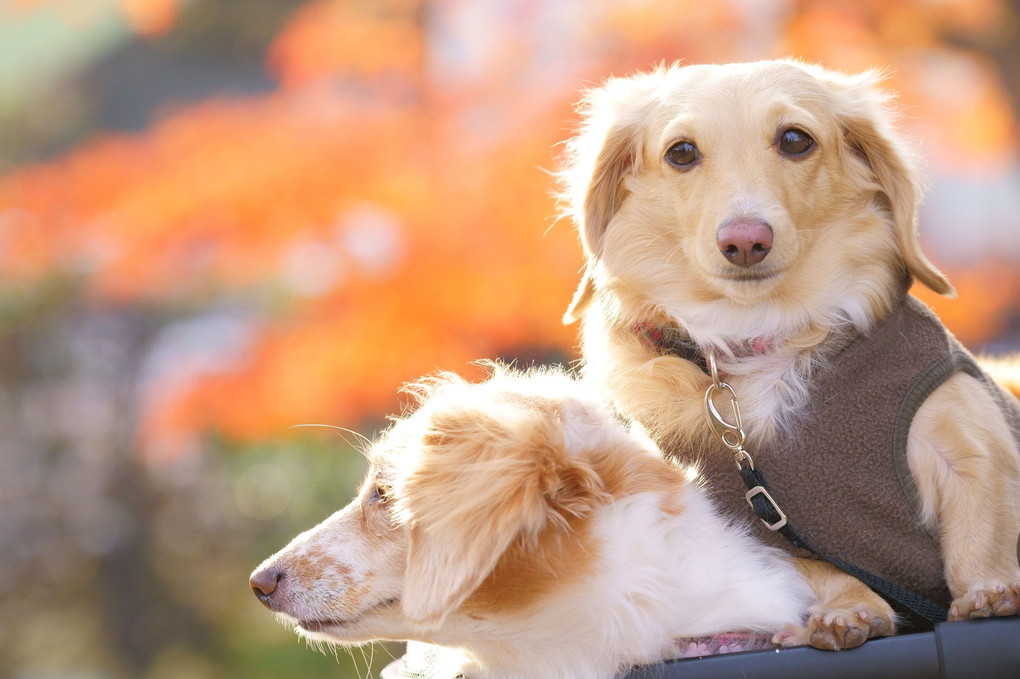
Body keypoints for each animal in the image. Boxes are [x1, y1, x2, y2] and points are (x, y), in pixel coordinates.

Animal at [558, 60, 1020, 648]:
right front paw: (851, 609)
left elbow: (980, 532)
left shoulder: (969, 445)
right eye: (681, 152)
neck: (763, 331)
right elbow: (819, 567)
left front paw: (989, 592)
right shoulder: (750, 520)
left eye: (795, 140)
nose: (745, 241)